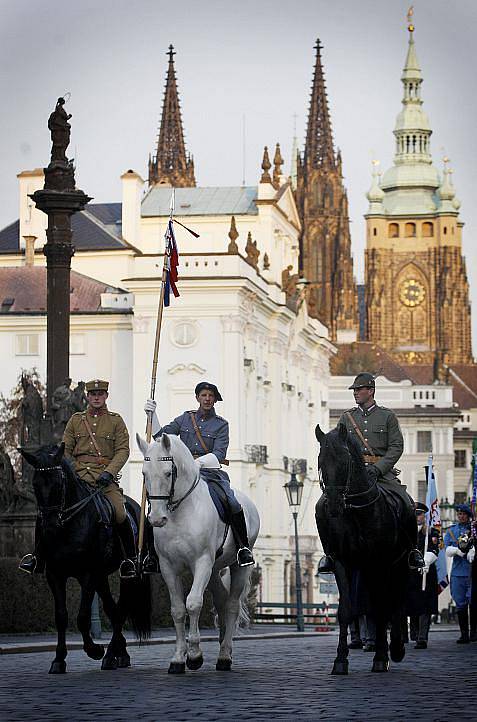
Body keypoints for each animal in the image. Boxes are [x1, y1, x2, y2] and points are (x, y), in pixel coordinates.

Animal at [19, 442, 151, 672]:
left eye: (59, 484)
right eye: (35, 485)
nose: (50, 527)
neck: (69, 525)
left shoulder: (89, 574)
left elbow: (82, 617)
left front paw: (94, 650)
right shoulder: (55, 575)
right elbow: (61, 617)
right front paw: (59, 659)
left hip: (126, 574)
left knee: (121, 609)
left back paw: (110, 655)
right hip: (102, 577)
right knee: (113, 610)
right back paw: (119, 654)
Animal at [134, 430, 260, 672]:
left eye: (168, 472)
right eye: (144, 473)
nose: (156, 519)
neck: (180, 512)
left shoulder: (201, 562)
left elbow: (193, 603)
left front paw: (194, 655)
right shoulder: (168, 566)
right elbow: (177, 609)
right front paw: (178, 658)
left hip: (237, 566)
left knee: (231, 605)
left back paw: (225, 655)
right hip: (214, 570)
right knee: (221, 601)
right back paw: (224, 646)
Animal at [314, 424, 414, 672]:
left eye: (345, 461)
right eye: (321, 461)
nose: (334, 505)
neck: (356, 511)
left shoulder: (380, 562)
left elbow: (381, 607)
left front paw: (381, 656)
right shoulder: (342, 562)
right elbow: (346, 610)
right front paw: (340, 659)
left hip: (399, 564)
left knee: (396, 599)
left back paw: (396, 647)